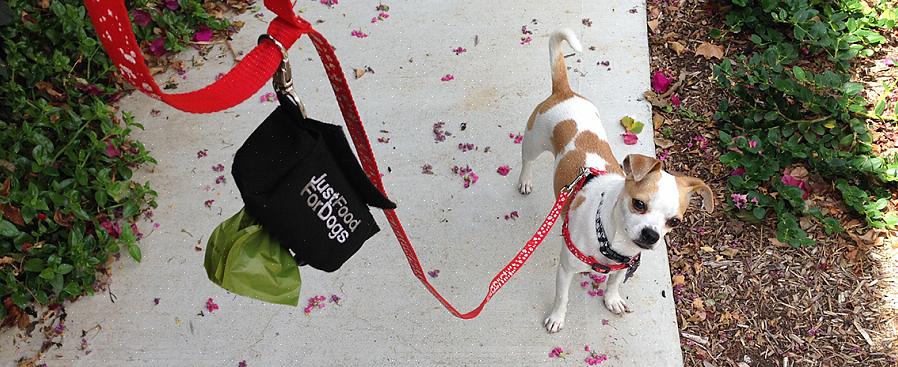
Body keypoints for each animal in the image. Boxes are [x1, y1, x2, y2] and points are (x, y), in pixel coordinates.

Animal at [520, 28, 712, 334]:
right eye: (639, 204)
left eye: (674, 222)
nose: (651, 235)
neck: (611, 238)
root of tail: (565, 92)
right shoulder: (566, 269)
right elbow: (562, 298)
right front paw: (557, 317)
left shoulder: (621, 268)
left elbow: (613, 283)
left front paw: (611, 299)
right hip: (533, 142)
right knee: (526, 160)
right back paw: (525, 180)